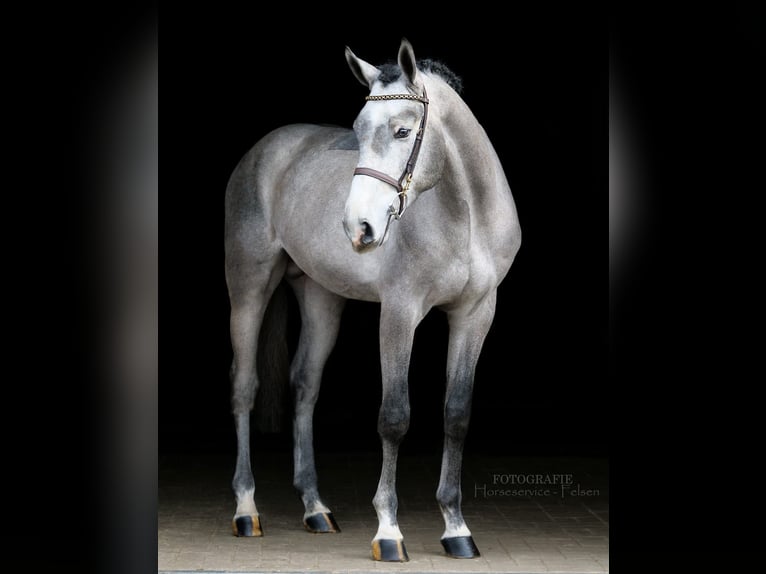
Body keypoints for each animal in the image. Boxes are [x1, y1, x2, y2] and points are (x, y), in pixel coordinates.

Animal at [224, 37, 520, 564]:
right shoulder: (400, 312)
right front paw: (388, 531)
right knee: (244, 387)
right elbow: (394, 416)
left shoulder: (476, 314)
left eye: (402, 130)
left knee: (305, 387)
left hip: (320, 297)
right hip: (248, 288)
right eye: (358, 131)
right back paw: (245, 510)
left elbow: (457, 414)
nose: (357, 227)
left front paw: (456, 529)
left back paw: (316, 509)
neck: (466, 217)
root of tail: (268, 148)